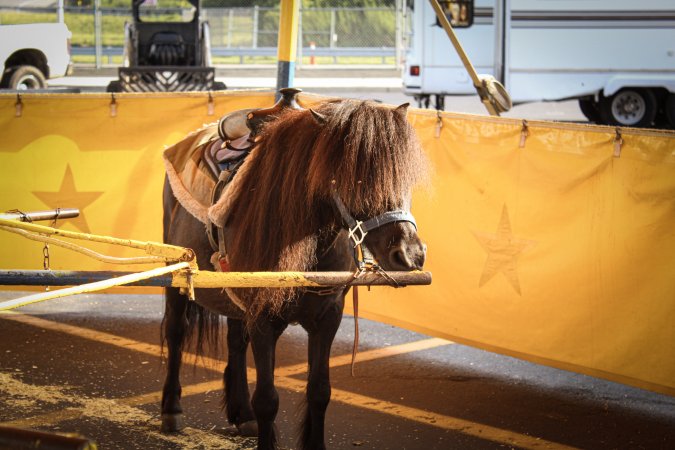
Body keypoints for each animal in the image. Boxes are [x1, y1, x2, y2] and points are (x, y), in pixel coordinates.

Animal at [161, 98, 428, 450]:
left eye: (402, 177)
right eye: (355, 179)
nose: (410, 254)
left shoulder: (328, 318)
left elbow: (319, 392)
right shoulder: (264, 320)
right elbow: (267, 400)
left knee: (235, 340)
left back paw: (241, 412)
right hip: (175, 279)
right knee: (177, 332)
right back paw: (171, 409)